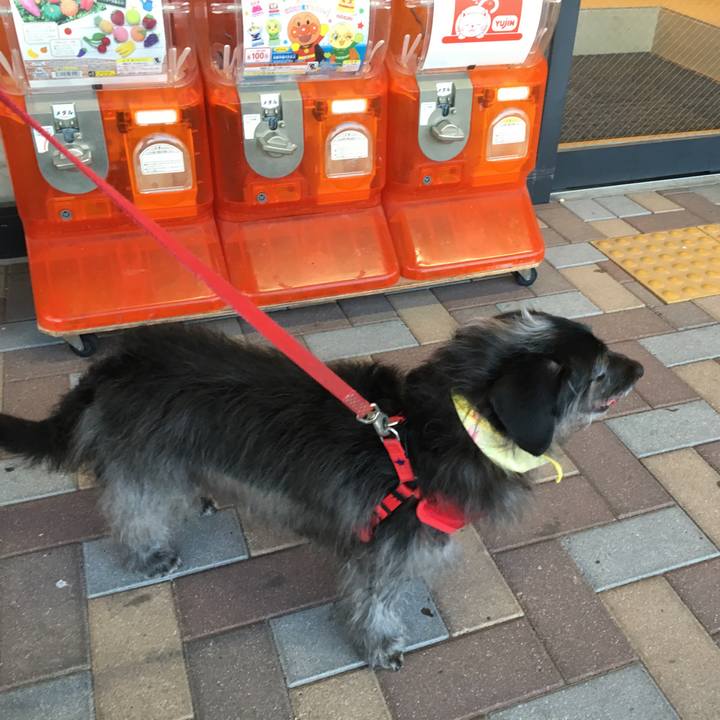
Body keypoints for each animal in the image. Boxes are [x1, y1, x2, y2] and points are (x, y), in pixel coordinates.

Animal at [0, 311, 642, 670]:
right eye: (599, 370)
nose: (639, 370)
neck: (448, 426)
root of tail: (115, 361)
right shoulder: (383, 550)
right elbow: (374, 602)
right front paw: (379, 645)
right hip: (144, 461)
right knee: (129, 506)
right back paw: (148, 552)